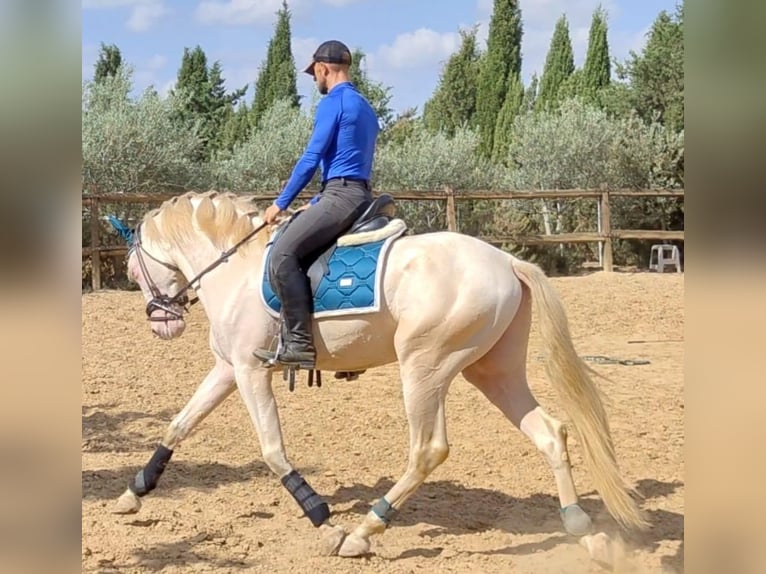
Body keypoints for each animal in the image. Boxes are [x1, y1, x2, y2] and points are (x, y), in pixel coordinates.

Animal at [106, 189, 648, 564]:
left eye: (133, 272)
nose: (162, 323)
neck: (236, 268)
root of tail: (507, 261)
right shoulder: (228, 368)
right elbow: (179, 424)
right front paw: (133, 493)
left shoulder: (251, 370)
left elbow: (272, 450)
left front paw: (323, 521)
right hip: (493, 371)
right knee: (550, 433)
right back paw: (583, 530)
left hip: (425, 367)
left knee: (428, 449)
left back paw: (364, 531)